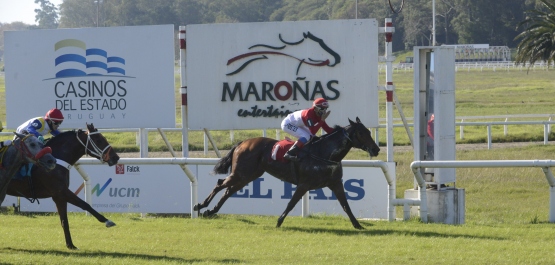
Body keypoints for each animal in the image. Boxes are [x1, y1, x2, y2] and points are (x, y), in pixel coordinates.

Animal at [193, 116, 380, 228]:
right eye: (361, 133)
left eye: (369, 131)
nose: (376, 149)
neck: (324, 153)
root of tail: (243, 142)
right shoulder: (304, 184)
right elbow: (291, 203)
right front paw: (279, 221)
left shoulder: (336, 183)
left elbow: (346, 205)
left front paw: (358, 225)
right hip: (241, 173)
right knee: (220, 185)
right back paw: (201, 206)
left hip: (249, 175)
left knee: (228, 191)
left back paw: (211, 211)